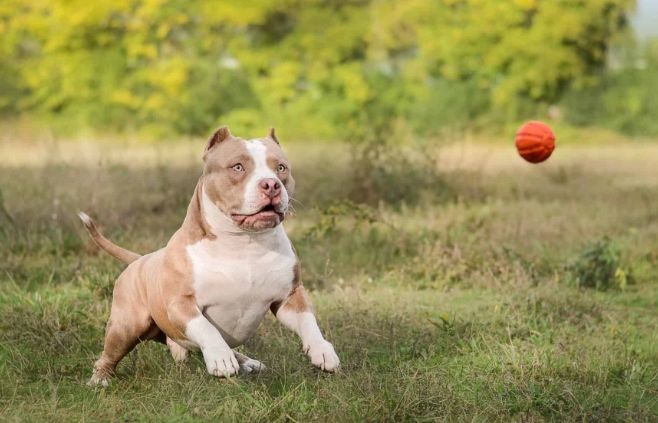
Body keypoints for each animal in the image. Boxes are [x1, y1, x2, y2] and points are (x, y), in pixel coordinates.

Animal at [79, 126, 340, 388]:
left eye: (281, 168)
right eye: (238, 167)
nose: (271, 185)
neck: (244, 243)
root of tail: (140, 259)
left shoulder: (289, 297)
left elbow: (308, 321)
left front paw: (322, 350)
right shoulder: (181, 304)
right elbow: (206, 328)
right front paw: (220, 357)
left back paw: (248, 362)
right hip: (127, 325)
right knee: (108, 355)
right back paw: (99, 379)